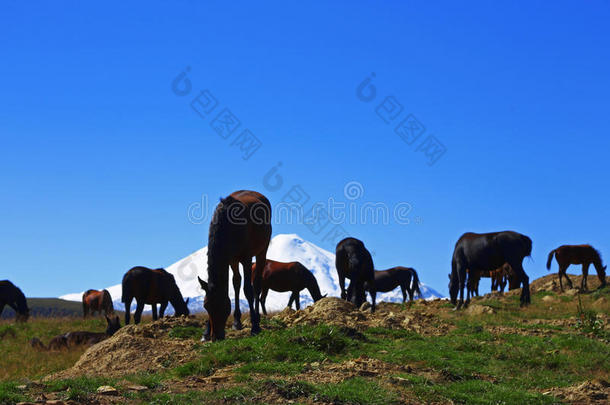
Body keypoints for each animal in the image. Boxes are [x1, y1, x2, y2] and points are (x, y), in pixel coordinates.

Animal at [197, 190, 270, 340]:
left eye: (223, 306)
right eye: (206, 306)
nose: (216, 336)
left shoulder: (247, 258)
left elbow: (248, 290)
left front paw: (255, 327)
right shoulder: (230, 259)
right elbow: (235, 283)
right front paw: (206, 332)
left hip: (262, 251)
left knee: (256, 285)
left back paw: (257, 319)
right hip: (234, 260)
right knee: (236, 282)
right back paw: (237, 321)